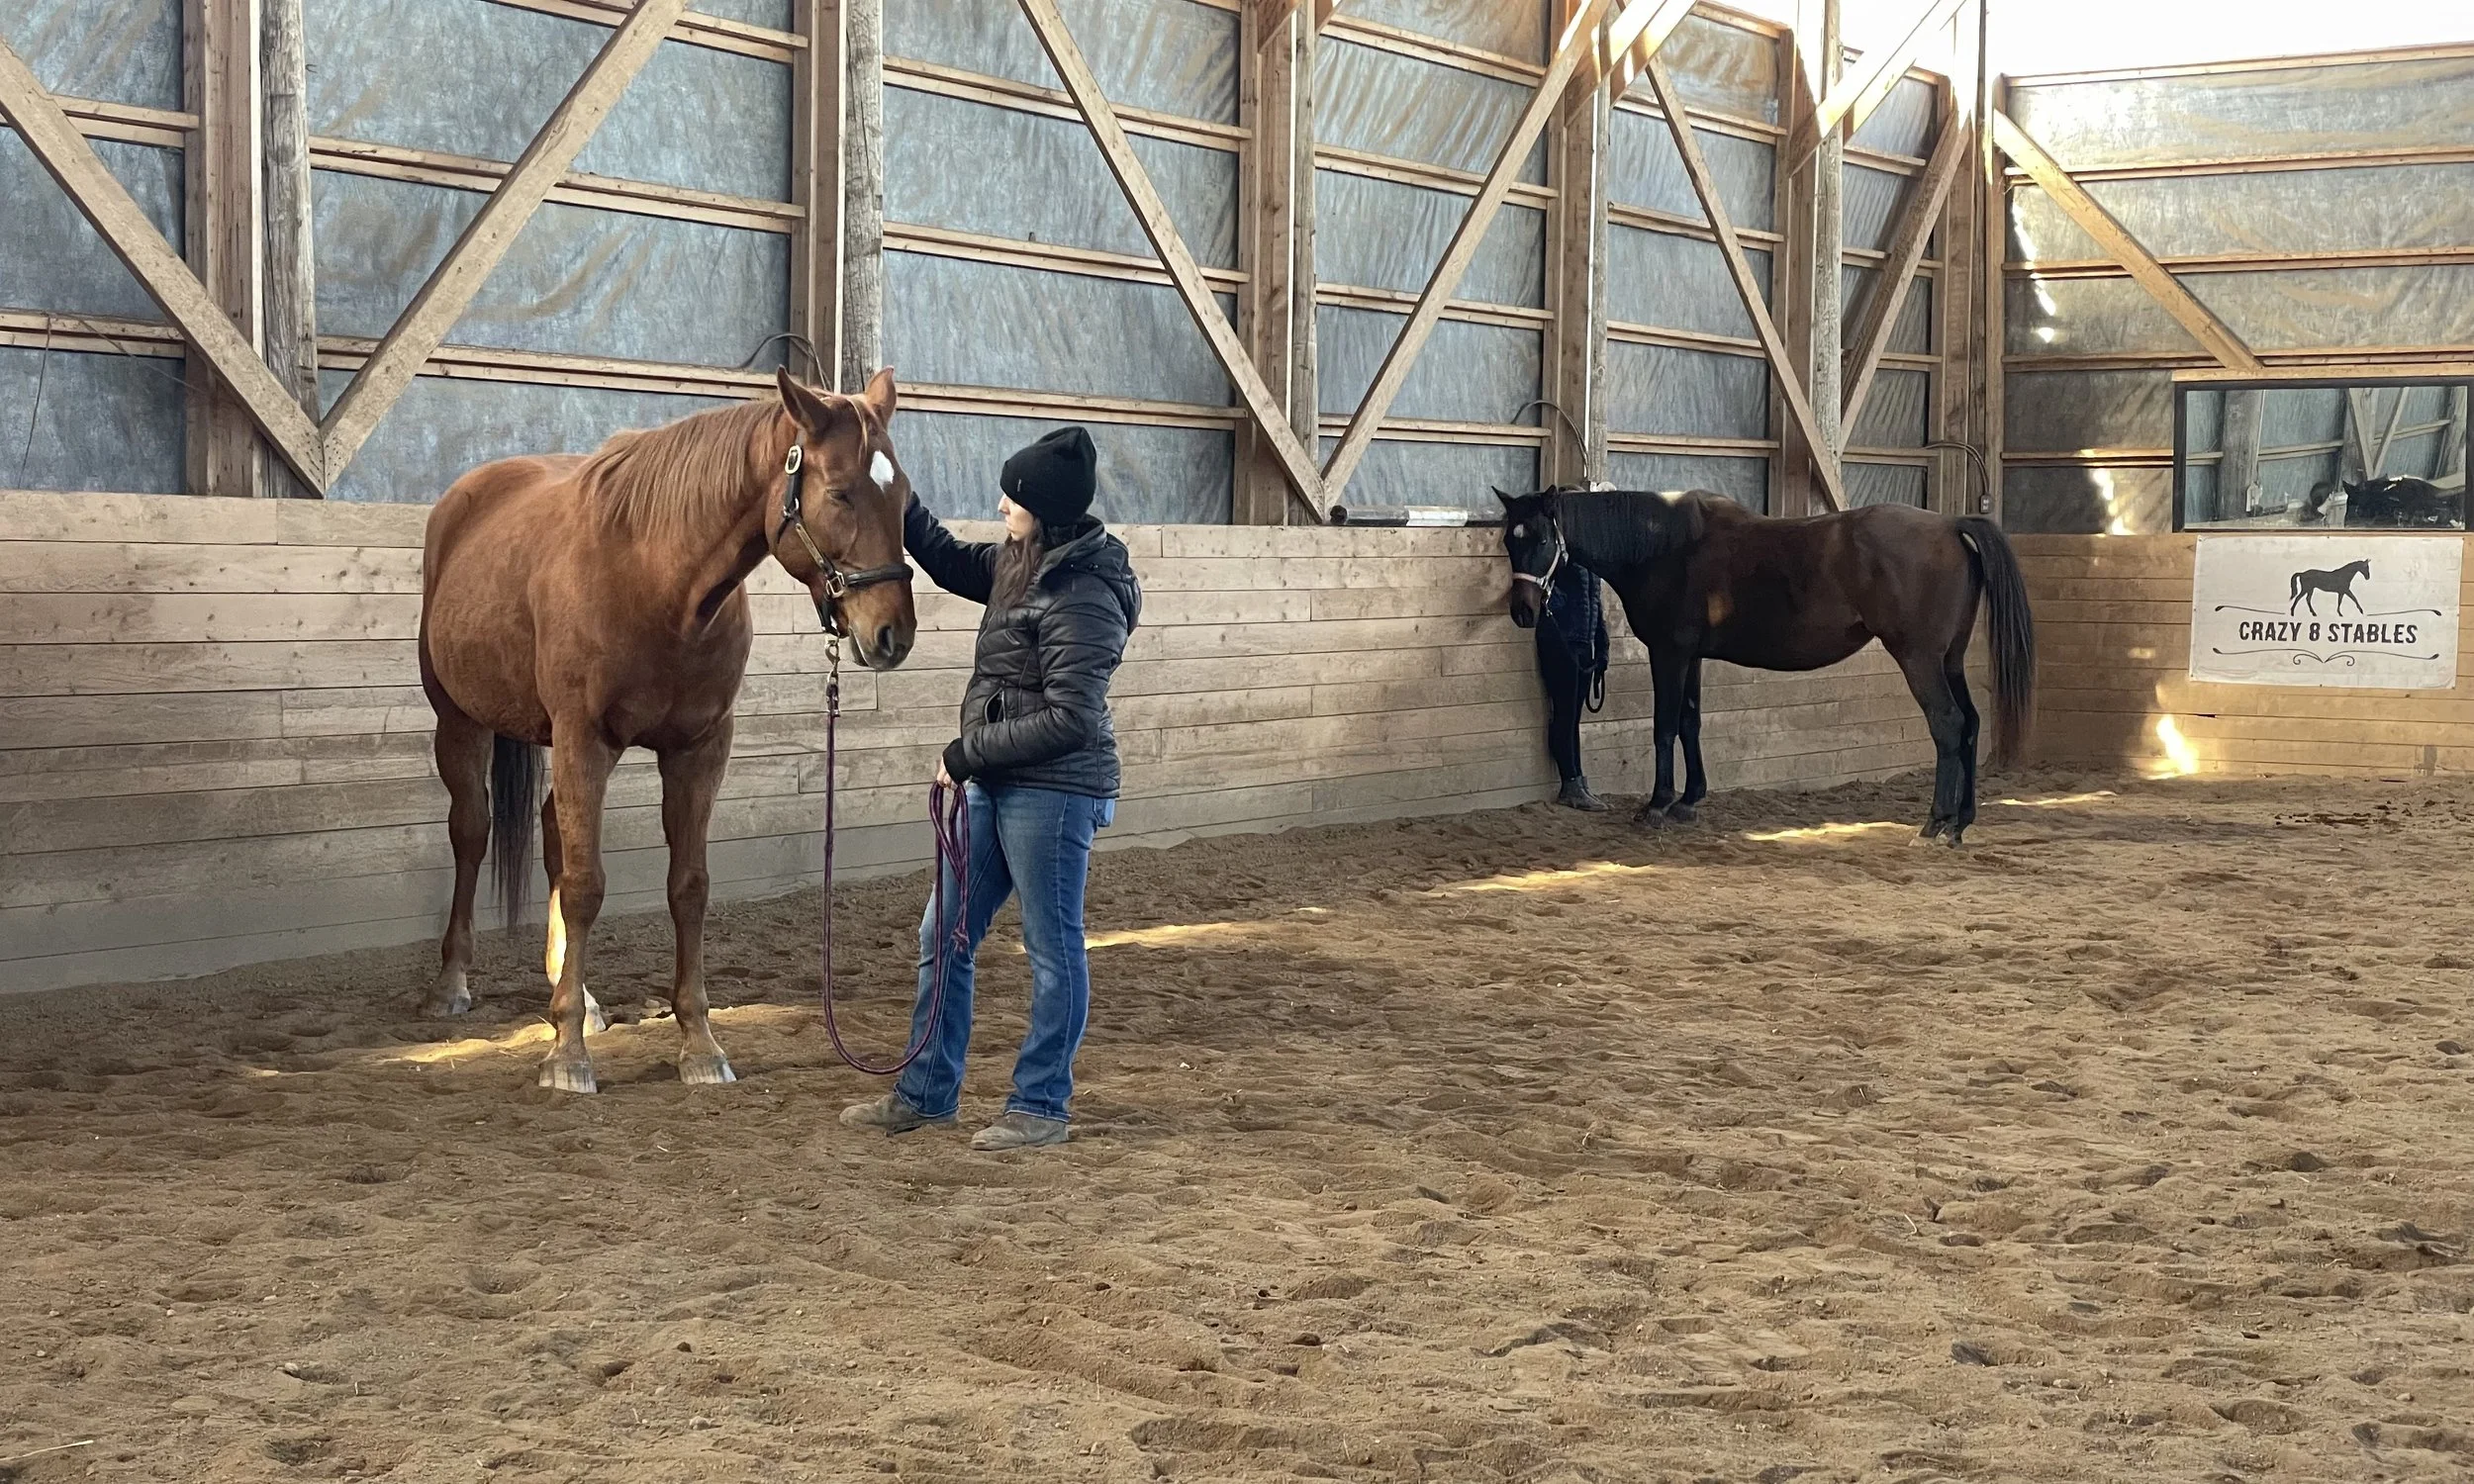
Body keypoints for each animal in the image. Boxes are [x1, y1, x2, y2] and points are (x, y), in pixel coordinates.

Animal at [418, 367, 918, 1094]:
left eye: (903, 495)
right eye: (840, 492)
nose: (892, 635)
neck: (655, 579)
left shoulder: (698, 750)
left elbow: (688, 887)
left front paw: (699, 1044)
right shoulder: (583, 739)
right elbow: (587, 885)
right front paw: (567, 1057)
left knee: (551, 833)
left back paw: (580, 996)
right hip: (460, 724)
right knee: (473, 831)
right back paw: (455, 981)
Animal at [1495, 486, 2035, 846]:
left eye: (1541, 539)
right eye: (1508, 541)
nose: (1522, 610)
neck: (1663, 545)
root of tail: (1949, 524)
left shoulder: (1668, 652)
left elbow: (1664, 726)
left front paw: (1657, 804)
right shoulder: (1691, 656)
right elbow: (1690, 722)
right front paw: (1689, 800)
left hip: (1920, 658)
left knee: (1947, 725)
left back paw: (1934, 824)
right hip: (1951, 659)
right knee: (1970, 725)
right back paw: (1960, 823)